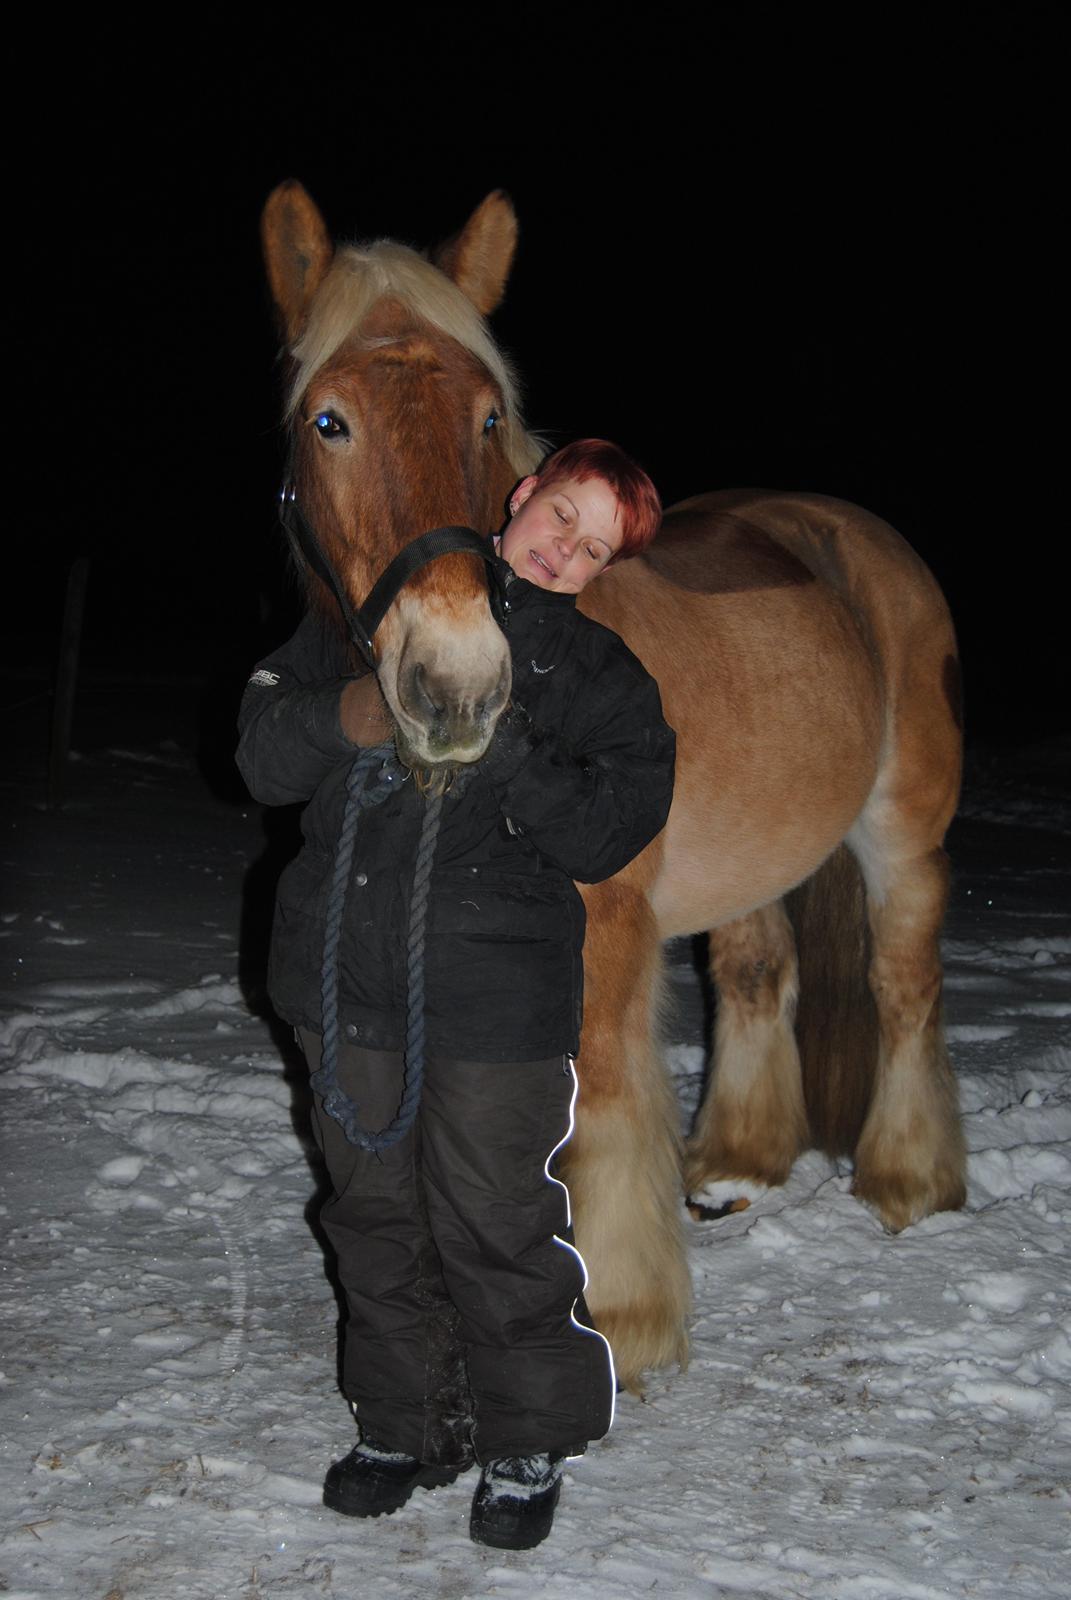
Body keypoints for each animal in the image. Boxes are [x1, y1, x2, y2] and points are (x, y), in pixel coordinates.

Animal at [260, 184, 966, 1388]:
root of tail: (850, 536)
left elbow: (598, 1107)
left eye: (488, 415)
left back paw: (909, 1181)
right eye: (329, 421)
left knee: (903, 987)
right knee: (758, 975)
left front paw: (622, 1318)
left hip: (902, 839)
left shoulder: (606, 932)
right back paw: (736, 1163)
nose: (456, 687)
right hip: (756, 865)